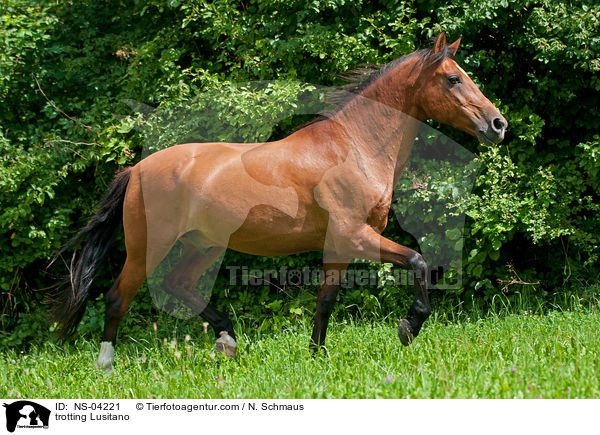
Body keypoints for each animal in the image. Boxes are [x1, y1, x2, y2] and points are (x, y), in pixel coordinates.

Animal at [49, 32, 506, 370]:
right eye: (452, 79)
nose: (498, 124)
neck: (354, 147)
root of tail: (137, 169)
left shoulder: (339, 245)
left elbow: (325, 302)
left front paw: (318, 356)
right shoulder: (355, 236)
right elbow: (417, 261)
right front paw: (408, 327)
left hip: (203, 243)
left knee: (178, 284)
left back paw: (228, 341)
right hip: (149, 245)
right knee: (118, 297)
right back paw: (106, 366)